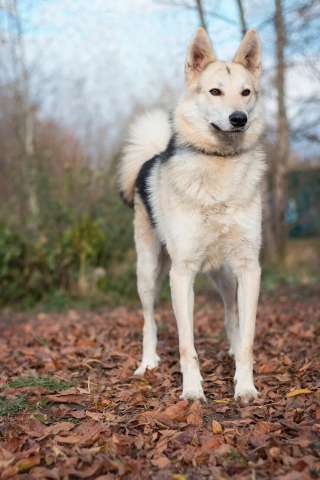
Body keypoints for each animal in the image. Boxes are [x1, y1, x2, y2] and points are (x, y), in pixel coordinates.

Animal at [119, 26, 266, 402]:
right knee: (149, 320)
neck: (219, 164)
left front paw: (245, 386)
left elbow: (248, 337)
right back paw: (148, 363)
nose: (239, 119)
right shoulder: (181, 274)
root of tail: (151, 156)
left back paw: (231, 348)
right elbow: (187, 345)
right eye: (215, 91)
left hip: (224, 274)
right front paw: (192, 391)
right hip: (148, 272)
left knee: (231, 313)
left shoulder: (249, 268)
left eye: (246, 93)